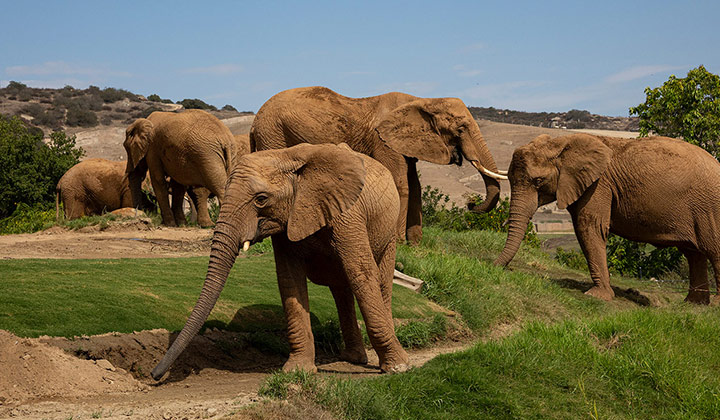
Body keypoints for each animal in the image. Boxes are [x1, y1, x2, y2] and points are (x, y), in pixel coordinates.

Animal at [151, 143, 409, 379]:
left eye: (261, 199)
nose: (155, 375)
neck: (287, 157)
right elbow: (289, 280)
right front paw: (297, 371)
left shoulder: (348, 214)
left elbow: (361, 273)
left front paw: (397, 368)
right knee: (341, 289)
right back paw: (352, 358)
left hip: (388, 231)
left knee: (380, 281)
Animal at [250, 86, 506, 244]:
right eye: (461, 129)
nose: (470, 204)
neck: (422, 100)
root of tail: (255, 120)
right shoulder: (382, 141)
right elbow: (402, 184)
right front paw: (401, 243)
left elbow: (416, 187)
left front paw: (416, 246)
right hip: (274, 133)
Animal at [495, 133, 720, 304]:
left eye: (538, 181)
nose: (496, 267)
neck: (561, 143)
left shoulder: (599, 184)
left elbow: (589, 226)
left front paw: (596, 296)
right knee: (694, 254)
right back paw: (693, 304)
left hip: (710, 206)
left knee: (713, 251)